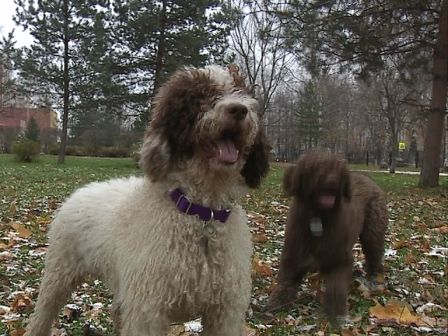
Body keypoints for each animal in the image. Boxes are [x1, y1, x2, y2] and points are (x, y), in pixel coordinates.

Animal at [26, 65, 270, 336]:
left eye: (241, 92)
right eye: (202, 96)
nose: (239, 110)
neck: (201, 214)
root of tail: (80, 191)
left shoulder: (225, 311)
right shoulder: (148, 308)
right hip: (59, 273)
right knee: (42, 314)